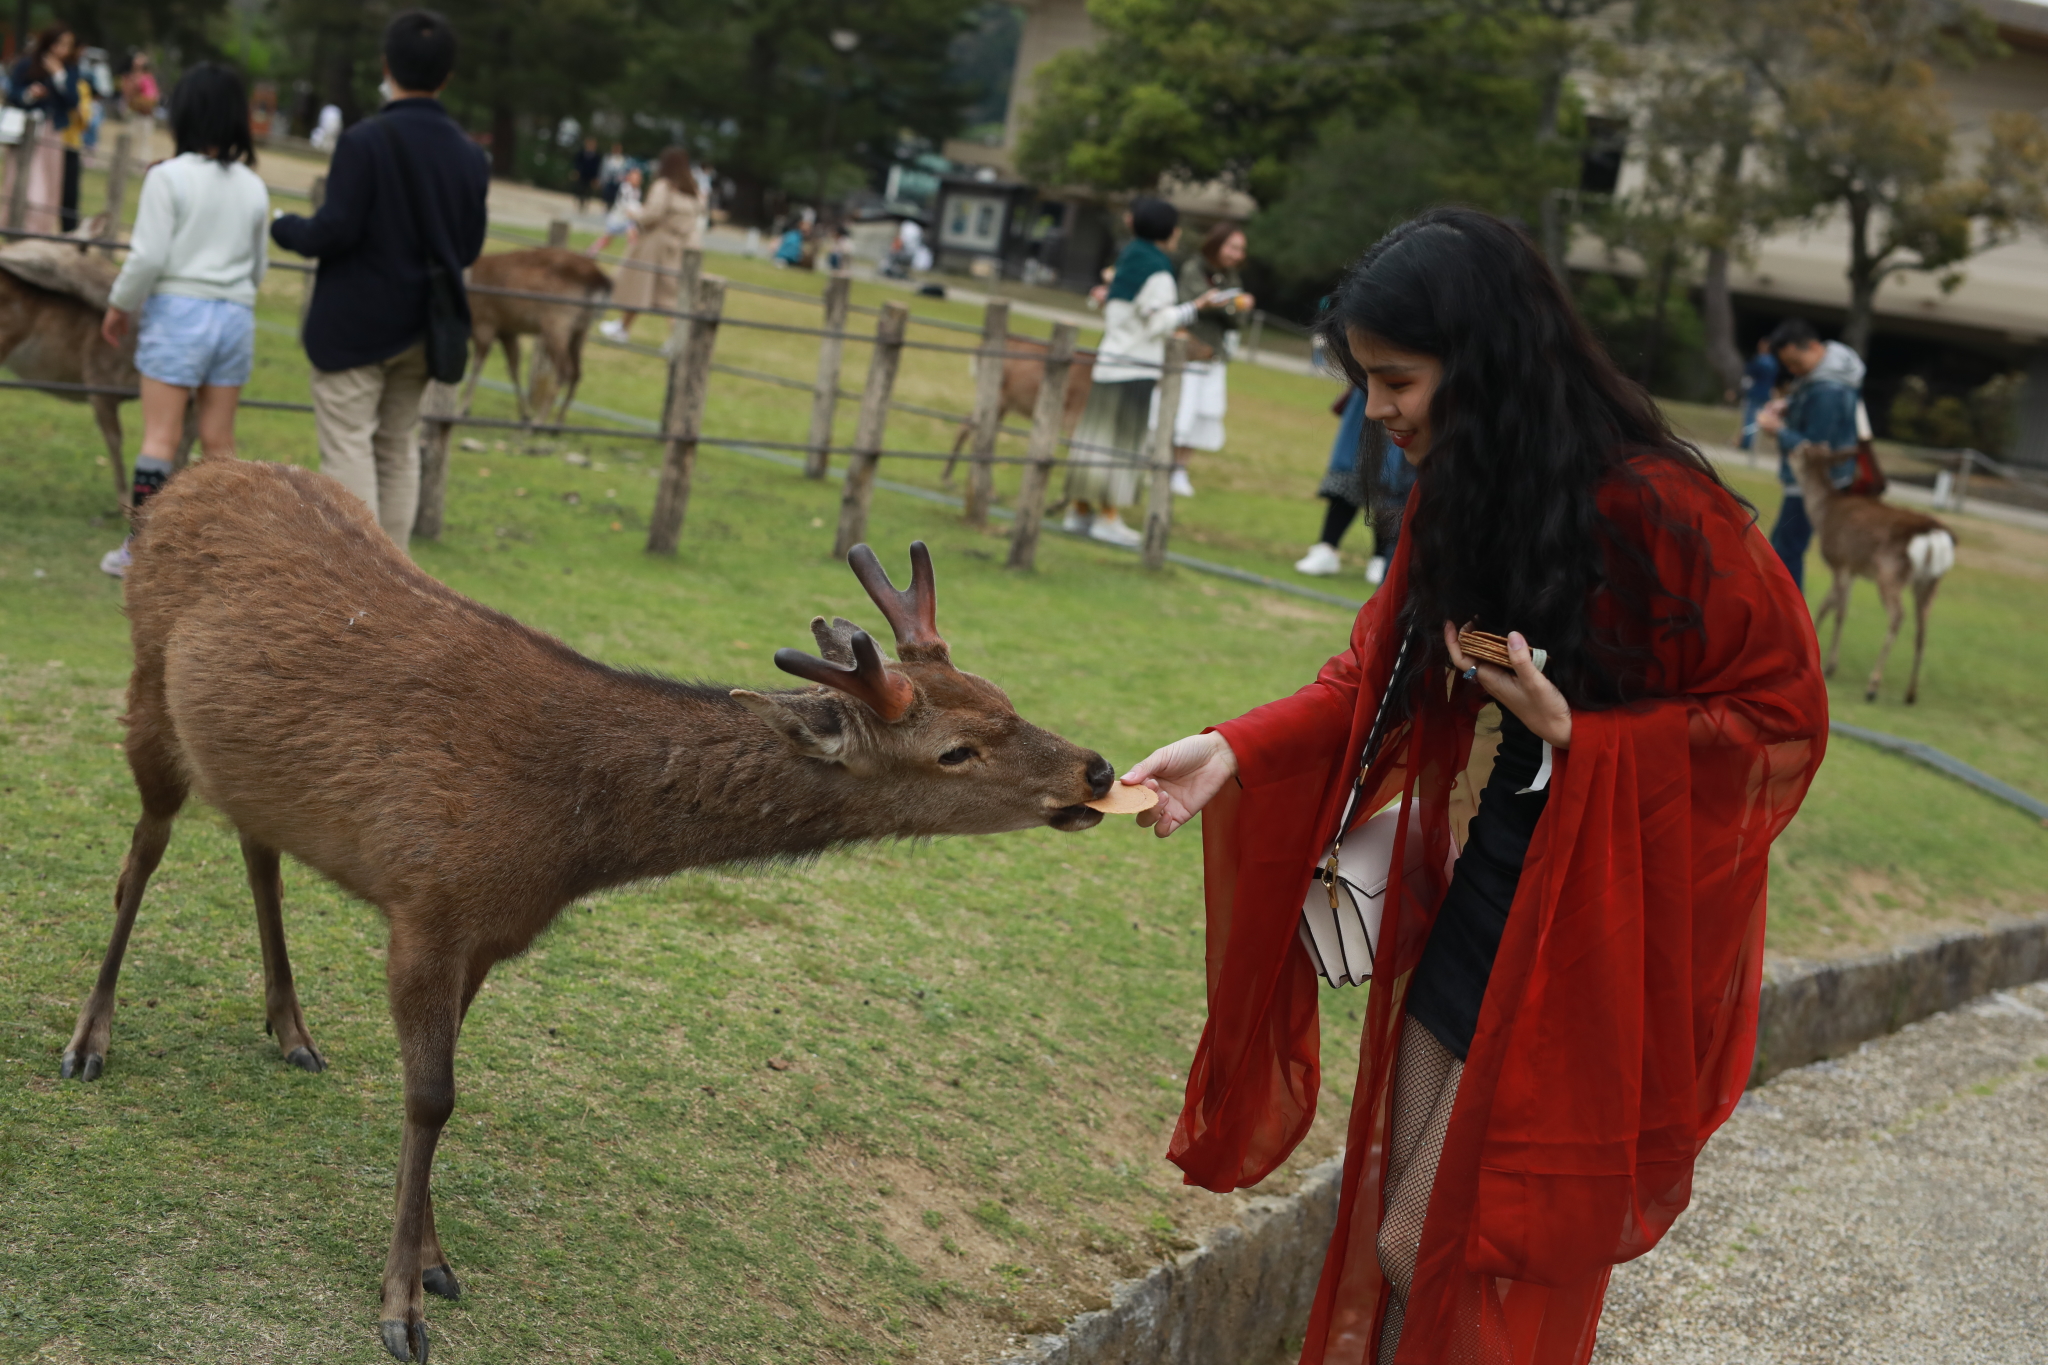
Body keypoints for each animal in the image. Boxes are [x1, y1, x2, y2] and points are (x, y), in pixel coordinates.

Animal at [64, 462, 1114, 1365]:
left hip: (248, 767)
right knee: (142, 854)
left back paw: (291, 1028)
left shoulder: (488, 932)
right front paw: (401, 1307)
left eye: (1003, 697)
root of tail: (183, 479)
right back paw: (89, 1039)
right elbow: (431, 1095)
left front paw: (436, 1261)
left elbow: (442, 1089)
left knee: (257, 850)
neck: (567, 842)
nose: (1096, 769)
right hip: (146, 689)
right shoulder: (427, 904)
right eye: (956, 750)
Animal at [454, 248, 602, 423]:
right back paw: (557, 421)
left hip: (556, 324)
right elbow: (514, 368)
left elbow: (476, 365)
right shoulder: (507, 330)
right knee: (577, 372)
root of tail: (600, 279)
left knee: (564, 370)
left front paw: (462, 409)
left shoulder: (485, 323)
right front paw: (524, 413)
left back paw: (539, 420)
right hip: (580, 331)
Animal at [942, 335, 1097, 485]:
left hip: (1002, 403)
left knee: (977, 427)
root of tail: (978, 349)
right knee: (974, 427)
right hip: (996, 397)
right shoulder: (1074, 417)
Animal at [1802, 446, 1957, 703]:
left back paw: (1872, 685)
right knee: (1922, 627)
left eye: (1799, 449)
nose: (1787, 452)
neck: (1823, 513)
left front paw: (1830, 666)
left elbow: (1839, 611)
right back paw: (1910, 693)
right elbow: (1827, 604)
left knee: (1897, 616)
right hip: (1929, 582)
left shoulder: (1840, 562)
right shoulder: (1851, 569)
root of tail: (1935, 535)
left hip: (1890, 573)